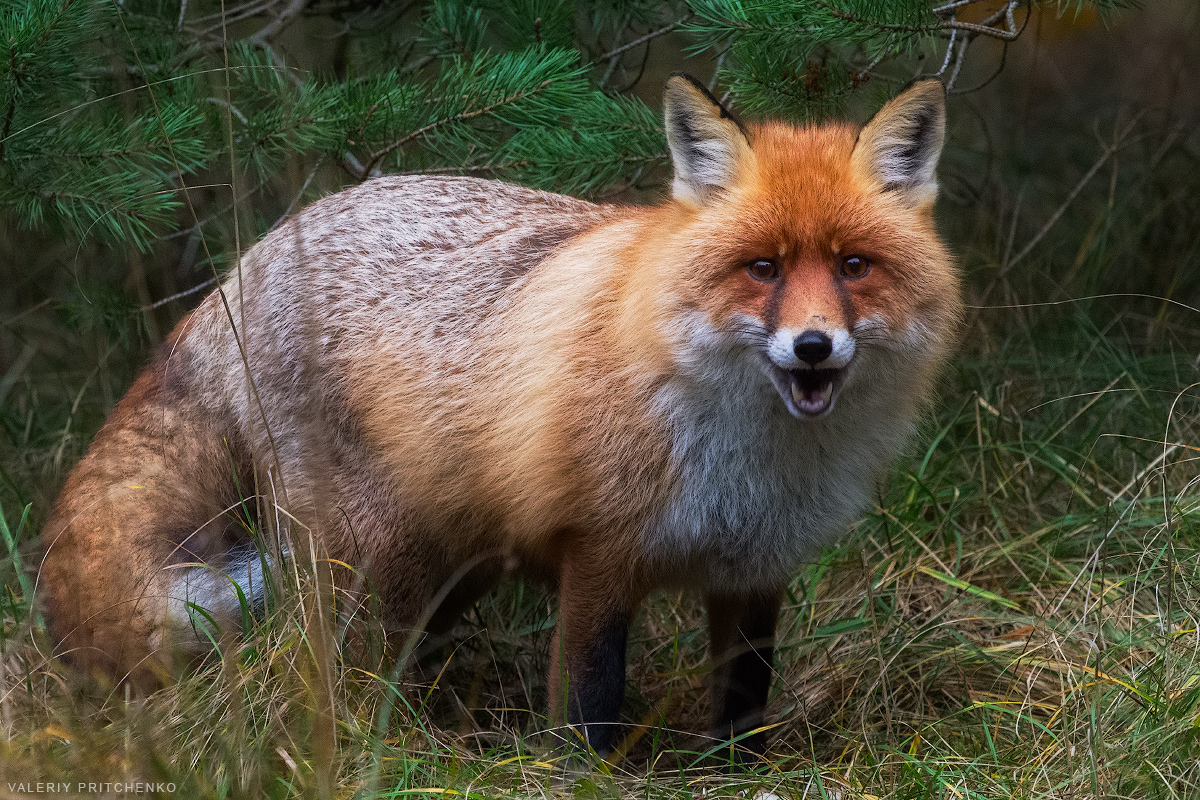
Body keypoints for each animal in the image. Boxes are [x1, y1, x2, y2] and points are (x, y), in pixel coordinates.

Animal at [39, 74, 955, 758]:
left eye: (854, 266)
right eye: (762, 268)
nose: (814, 346)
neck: (753, 457)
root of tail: (248, 262)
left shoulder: (755, 568)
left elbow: (744, 699)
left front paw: (738, 772)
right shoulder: (598, 551)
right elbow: (587, 702)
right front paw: (581, 778)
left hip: (451, 563)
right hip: (376, 557)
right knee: (321, 670)